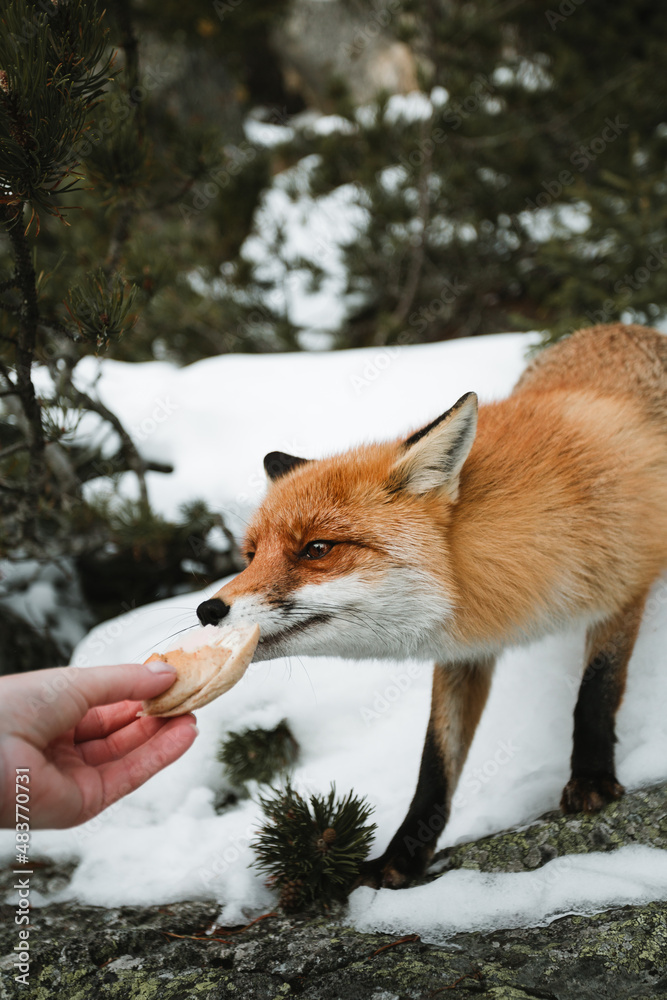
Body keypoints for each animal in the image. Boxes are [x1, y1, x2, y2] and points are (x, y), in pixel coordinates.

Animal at [197, 322, 667, 889]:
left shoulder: (624, 586)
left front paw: (593, 779)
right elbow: (435, 761)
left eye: (316, 549)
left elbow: (596, 691)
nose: (207, 611)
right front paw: (404, 854)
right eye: (250, 555)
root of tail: (617, 327)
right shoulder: (466, 650)